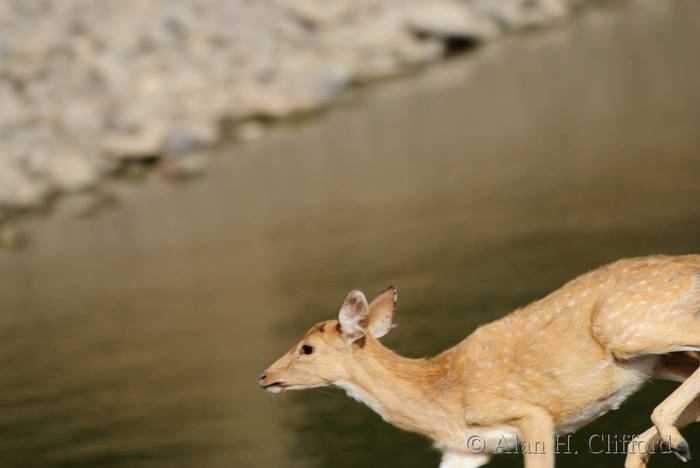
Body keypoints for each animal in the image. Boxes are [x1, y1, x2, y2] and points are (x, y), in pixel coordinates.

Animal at [259, 255, 700, 468]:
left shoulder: (531, 415)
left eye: (306, 348)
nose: (264, 377)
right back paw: (650, 449)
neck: (439, 396)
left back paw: (672, 441)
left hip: (625, 326)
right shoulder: (466, 451)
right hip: (656, 356)